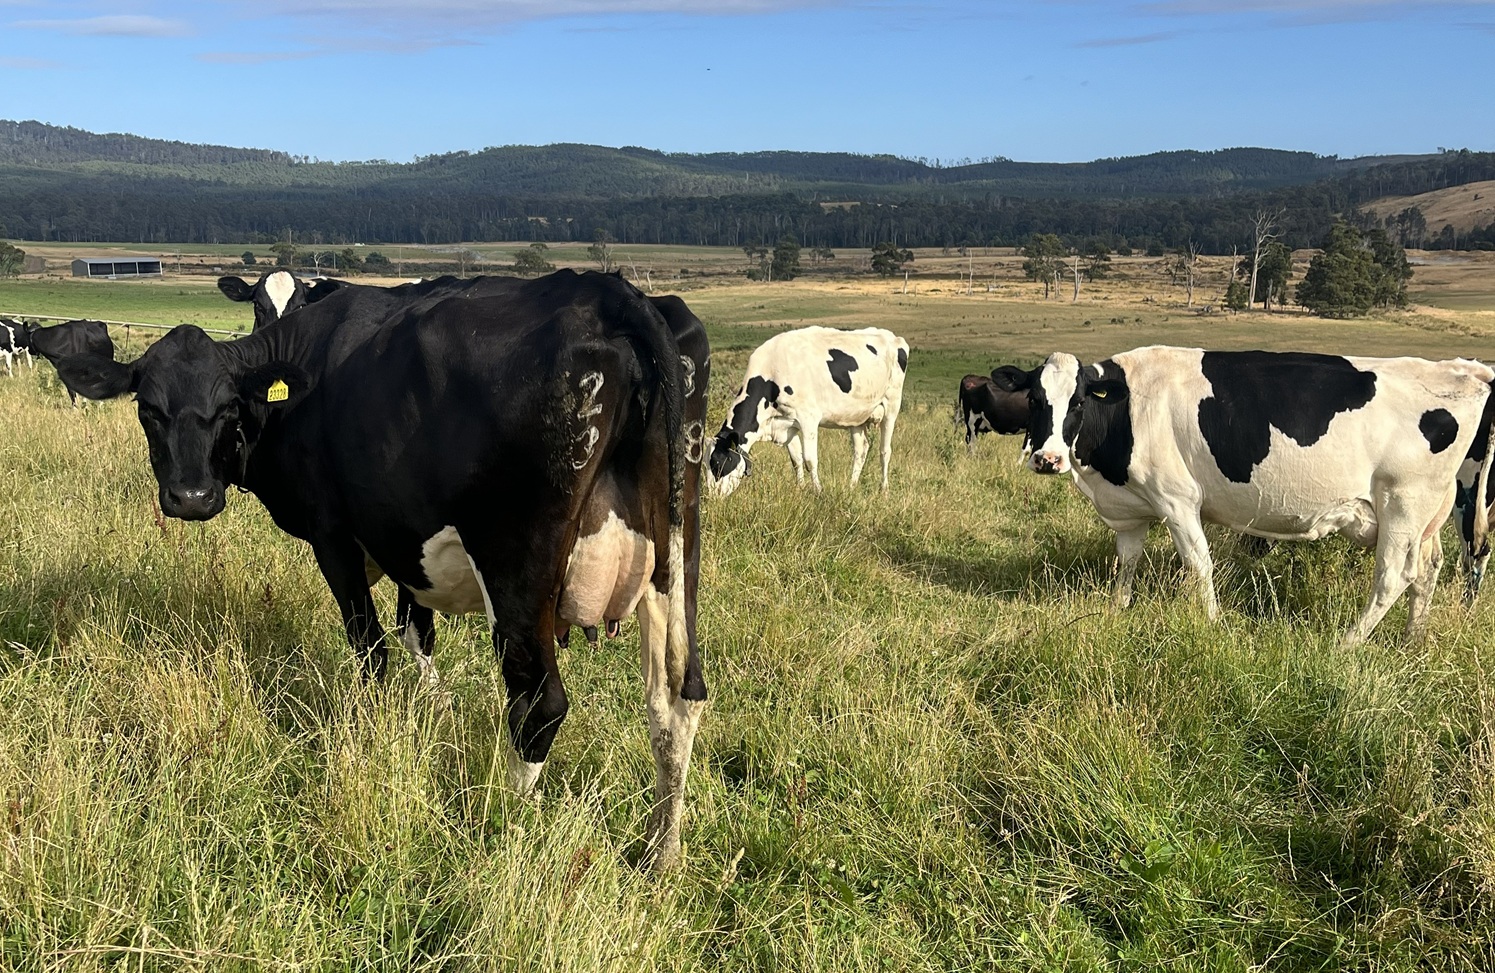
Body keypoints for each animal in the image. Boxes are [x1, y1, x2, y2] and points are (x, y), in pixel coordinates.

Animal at [708, 326, 909, 497]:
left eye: (719, 464)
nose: (712, 497)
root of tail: (893, 336)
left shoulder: (808, 419)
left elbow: (810, 459)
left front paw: (818, 491)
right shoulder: (787, 425)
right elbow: (796, 460)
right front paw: (801, 489)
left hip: (891, 405)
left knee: (884, 451)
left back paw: (884, 490)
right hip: (856, 416)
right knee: (861, 450)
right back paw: (851, 487)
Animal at [992, 346, 1495, 646]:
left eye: (1077, 402)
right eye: (1035, 401)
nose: (1048, 459)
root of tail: (1464, 371)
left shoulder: (1177, 500)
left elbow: (1199, 564)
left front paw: (1213, 624)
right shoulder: (1132, 508)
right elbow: (1127, 563)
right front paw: (1117, 611)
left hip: (1402, 505)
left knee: (1394, 576)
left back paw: (1347, 643)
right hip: (1427, 516)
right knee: (1427, 571)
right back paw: (1414, 641)